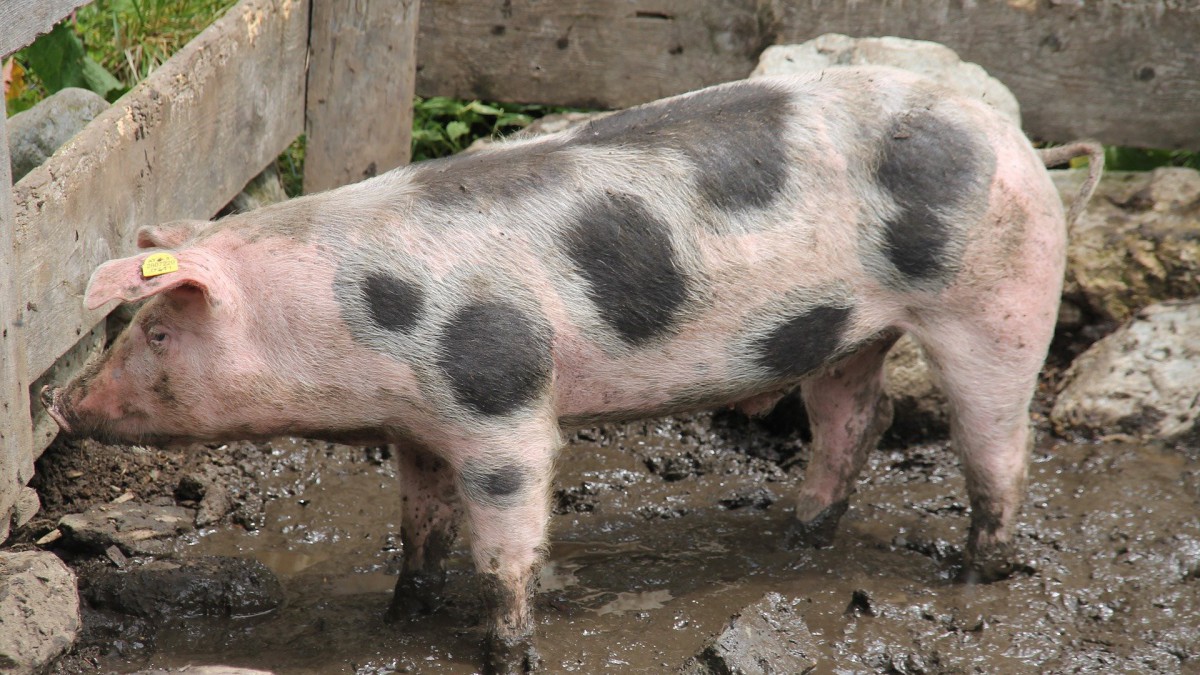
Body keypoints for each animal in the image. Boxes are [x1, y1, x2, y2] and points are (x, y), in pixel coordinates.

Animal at [44, 64, 1099, 672]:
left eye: (158, 334)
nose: (58, 398)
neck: (355, 314)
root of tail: (1015, 137)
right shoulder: (417, 425)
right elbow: (419, 522)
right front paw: (399, 614)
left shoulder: (499, 395)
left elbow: (506, 535)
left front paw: (503, 652)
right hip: (848, 331)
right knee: (854, 417)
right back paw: (797, 538)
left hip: (996, 297)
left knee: (997, 440)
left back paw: (976, 572)